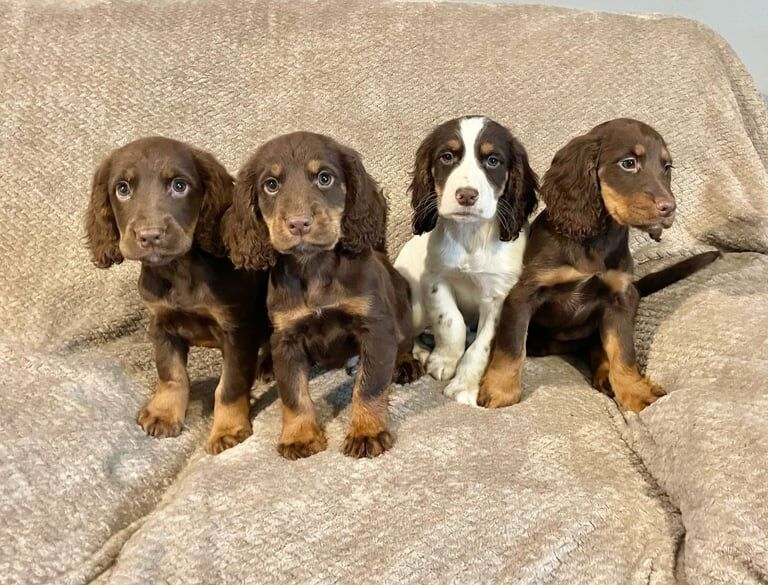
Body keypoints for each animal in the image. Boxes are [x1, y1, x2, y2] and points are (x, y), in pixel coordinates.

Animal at [83, 136, 270, 452]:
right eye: (123, 189)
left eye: (179, 186)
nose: (150, 235)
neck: (179, 270)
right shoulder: (161, 325)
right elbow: (171, 374)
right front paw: (164, 414)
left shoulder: (236, 330)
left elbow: (229, 386)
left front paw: (227, 429)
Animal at [222, 132, 426, 460]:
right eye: (271, 184)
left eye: (325, 178)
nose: (299, 223)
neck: (313, 265)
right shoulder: (287, 338)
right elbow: (293, 393)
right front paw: (300, 436)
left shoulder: (376, 327)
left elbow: (369, 386)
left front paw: (367, 431)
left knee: (404, 341)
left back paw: (405, 363)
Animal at [392, 116, 536, 404]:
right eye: (447, 156)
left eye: (493, 160)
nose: (466, 195)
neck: (470, 237)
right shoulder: (435, 279)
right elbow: (451, 321)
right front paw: (444, 360)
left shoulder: (498, 297)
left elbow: (481, 346)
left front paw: (464, 385)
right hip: (416, 307)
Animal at [480, 117, 720, 410]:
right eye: (628, 163)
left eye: (666, 167)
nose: (669, 208)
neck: (596, 238)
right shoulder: (523, 294)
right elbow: (511, 346)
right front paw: (500, 390)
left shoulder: (619, 298)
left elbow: (623, 351)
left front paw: (635, 391)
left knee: (600, 347)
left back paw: (606, 376)